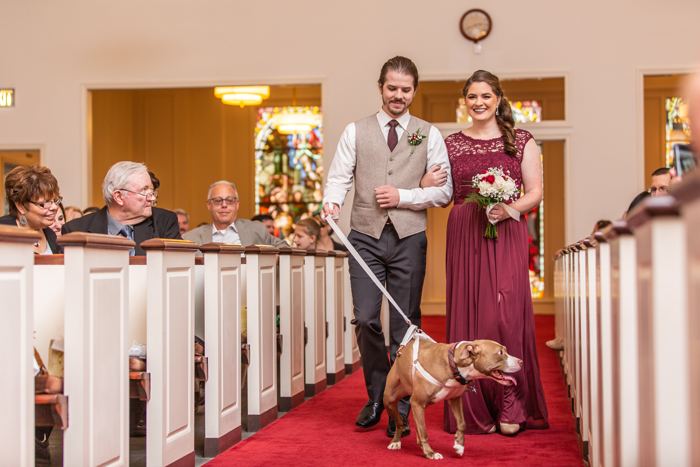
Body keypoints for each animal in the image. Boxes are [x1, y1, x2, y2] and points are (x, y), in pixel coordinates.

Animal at [382, 336, 520, 460]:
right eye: (500, 352)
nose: (521, 362)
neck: (453, 364)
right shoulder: (417, 404)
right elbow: (423, 433)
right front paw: (430, 453)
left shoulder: (455, 398)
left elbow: (462, 423)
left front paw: (459, 445)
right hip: (389, 399)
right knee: (399, 422)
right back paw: (396, 441)